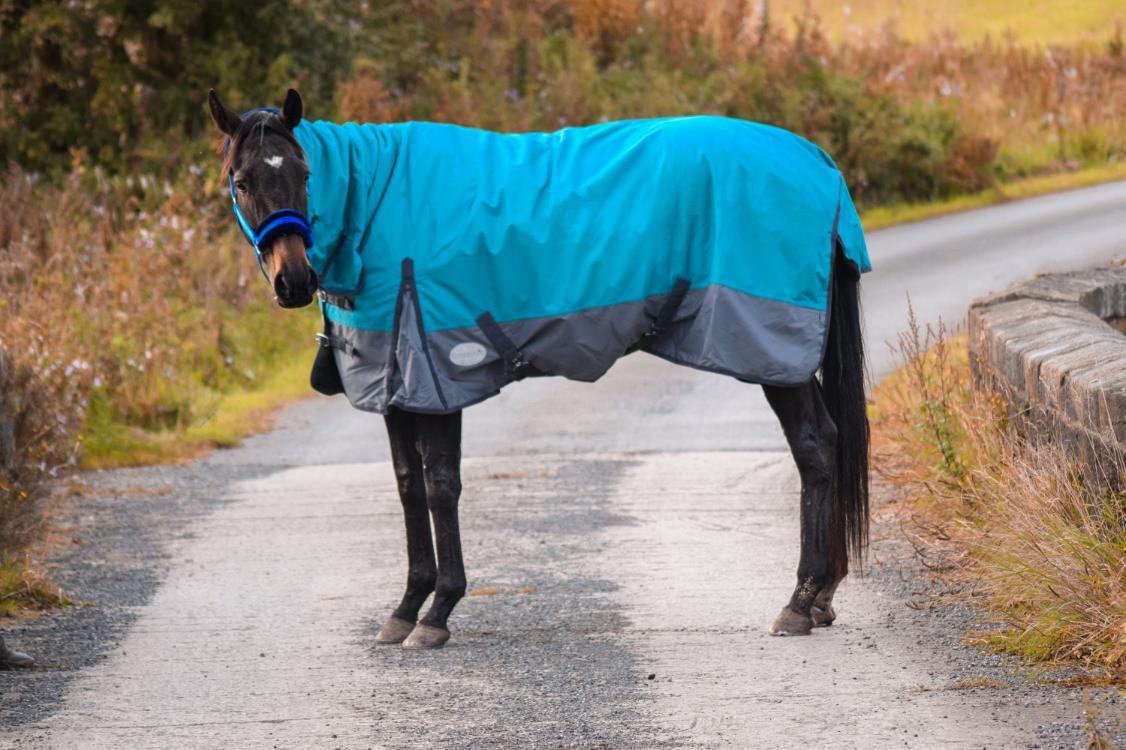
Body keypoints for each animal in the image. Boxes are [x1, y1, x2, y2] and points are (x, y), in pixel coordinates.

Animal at [208, 88, 870, 650]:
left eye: (303, 173)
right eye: (242, 181)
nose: (295, 282)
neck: (380, 207)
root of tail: (817, 161)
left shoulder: (438, 380)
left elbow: (441, 486)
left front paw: (438, 612)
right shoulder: (395, 389)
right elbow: (407, 486)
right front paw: (405, 608)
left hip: (773, 356)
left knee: (814, 447)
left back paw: (799, 601)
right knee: (824, 444)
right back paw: (820, 598)